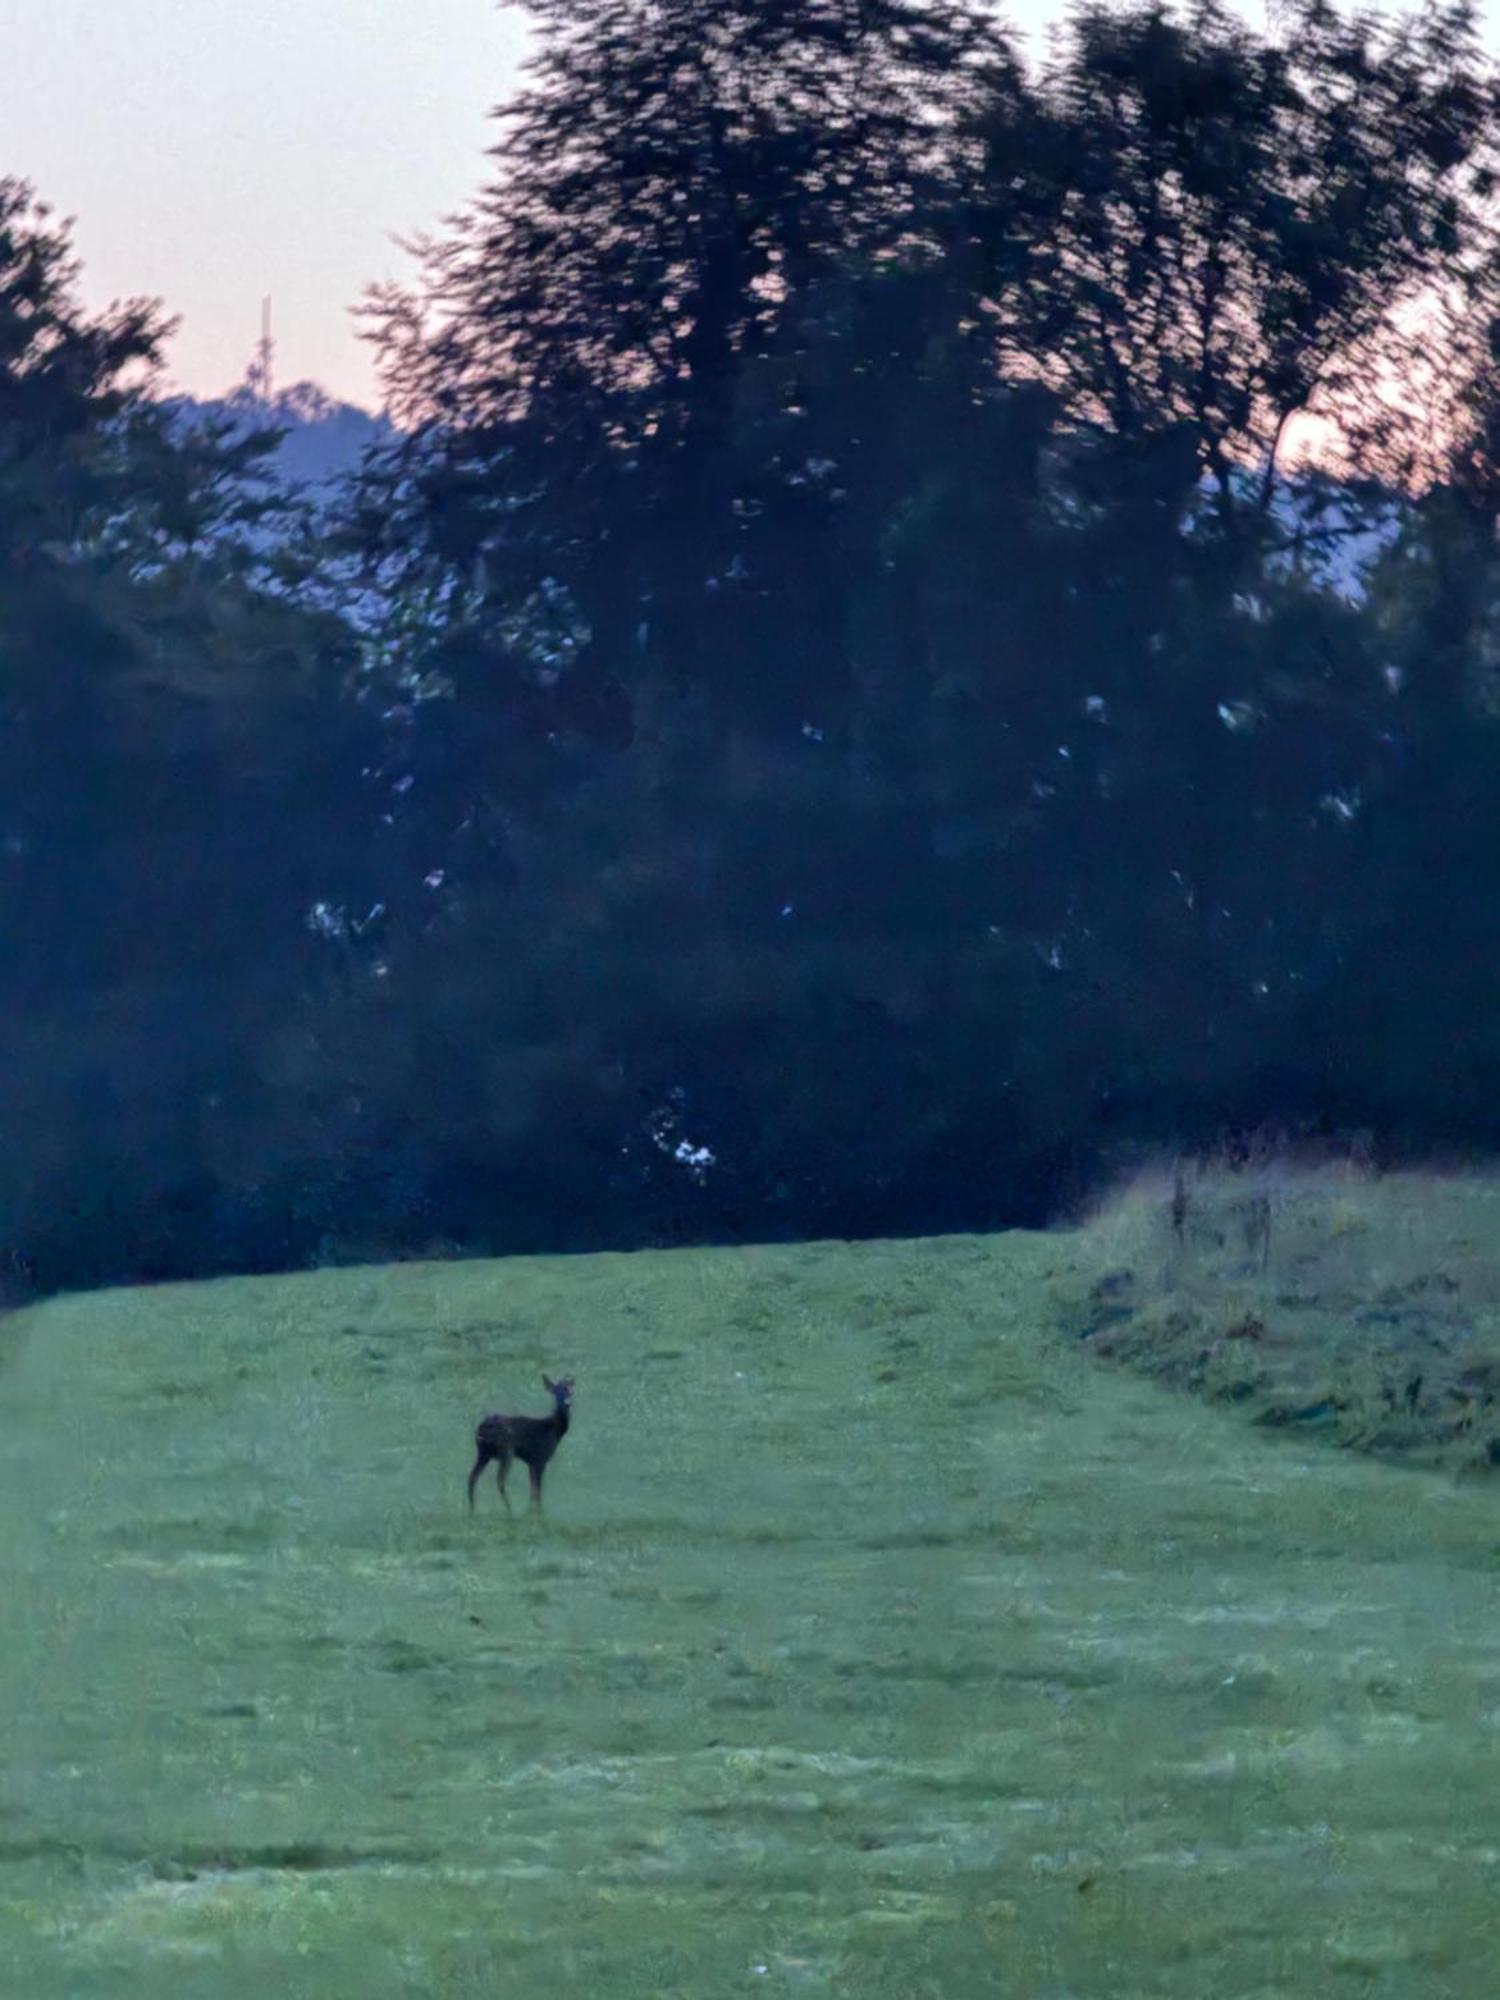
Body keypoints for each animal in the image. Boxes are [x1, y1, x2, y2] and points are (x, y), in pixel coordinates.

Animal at [468, 1376, 572, 1512]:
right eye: (556, 1391)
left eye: (570, 1391)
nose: (567, 1403)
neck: (554, 1430)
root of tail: (480, 1431)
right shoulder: (540, 1458)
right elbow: (538, 1492)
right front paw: (538, 1511)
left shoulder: (531, 1462)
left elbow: (533, 1491)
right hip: (506, 1450)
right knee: (500, 1481)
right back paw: (509, 1510)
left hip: (484, 1453)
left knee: (472, 1477)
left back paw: (472, 1509)